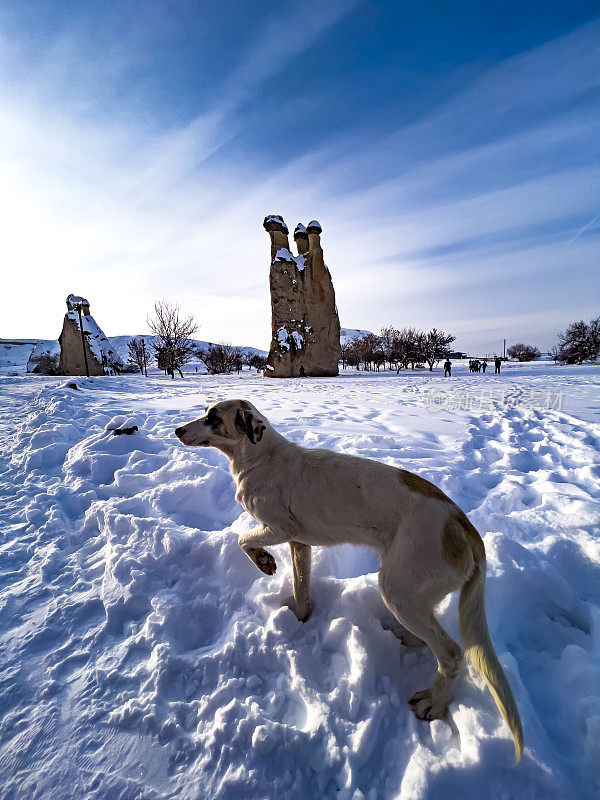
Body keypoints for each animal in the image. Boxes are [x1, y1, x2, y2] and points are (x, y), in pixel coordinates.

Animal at [176, 396, 524, 760]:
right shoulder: (299, 543)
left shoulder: (281, 528)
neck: (261, 456)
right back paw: (410, 640)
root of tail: (464, 526)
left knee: (452, 653)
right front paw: (299, 617)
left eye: (214, 418)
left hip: (397, 588)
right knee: (432, 632)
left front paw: (264, 562)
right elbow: (301, 587)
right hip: (414, 590)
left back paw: (433, 703)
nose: (177, 430)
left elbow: (242, 539)